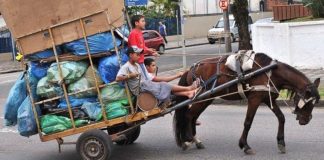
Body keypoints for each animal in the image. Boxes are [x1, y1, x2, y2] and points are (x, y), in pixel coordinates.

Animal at [173, 52, 320, 155]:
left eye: (315, 102)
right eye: (308, 103)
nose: (306, 120)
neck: (270, 72)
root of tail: (190, 69)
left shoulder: (268, 99)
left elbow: (281, 118)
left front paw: (281, 143)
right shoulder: (254, 99)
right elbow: (248, 122)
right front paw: (245, 145)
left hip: (206, 99)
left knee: (193, 117)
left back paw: (195, 140)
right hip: (203, 97)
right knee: (188, 115)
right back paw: (188, 139)